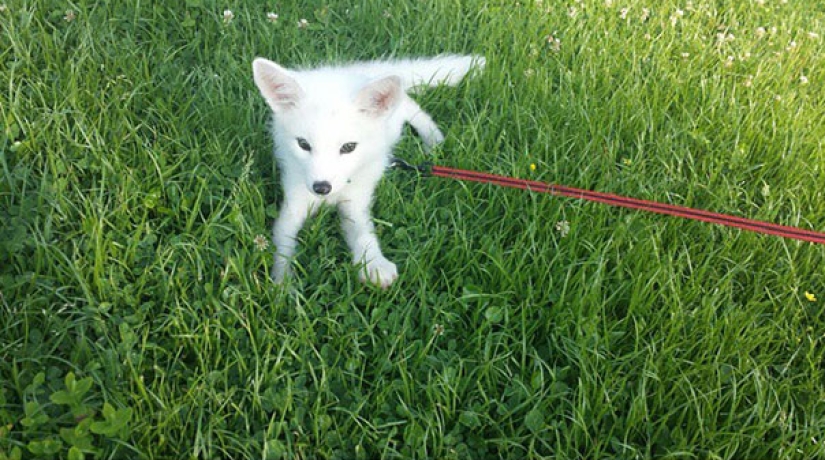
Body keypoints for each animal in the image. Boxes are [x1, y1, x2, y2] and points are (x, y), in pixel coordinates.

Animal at [252, 54, 485, 287]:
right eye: (303, 144)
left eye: (348, 147)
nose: (322, 188)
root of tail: (364, 72)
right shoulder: (295, 201)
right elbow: (283, 240)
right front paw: (283, 282)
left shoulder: (355, 200)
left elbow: (362, 232)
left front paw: (373, 262)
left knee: (409, 103)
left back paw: (432, 137)